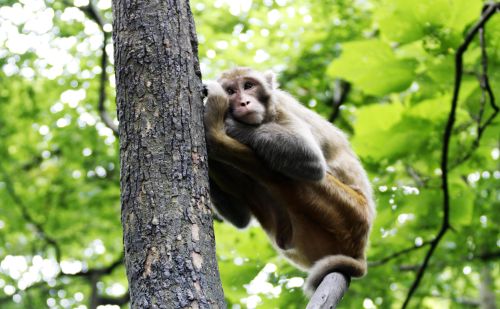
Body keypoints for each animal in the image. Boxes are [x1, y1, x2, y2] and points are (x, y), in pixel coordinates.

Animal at [203, 67, 376, 294]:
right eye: (231, 91)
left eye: (248, 85)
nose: (244, 102)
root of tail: (361, 251)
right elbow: (241, 219)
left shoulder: (282, 109)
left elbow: (311, 160)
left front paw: (231, 124)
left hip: (350, 213)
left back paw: (215, 134)